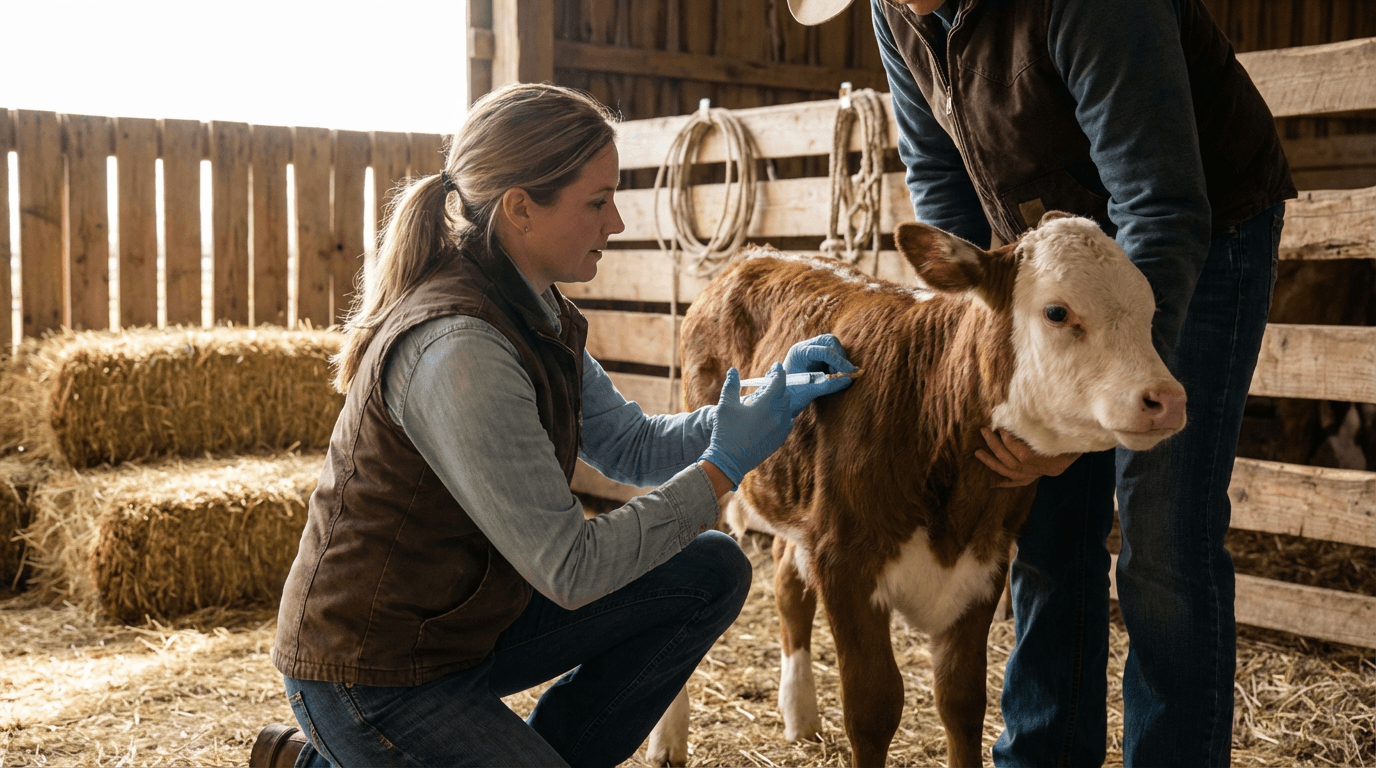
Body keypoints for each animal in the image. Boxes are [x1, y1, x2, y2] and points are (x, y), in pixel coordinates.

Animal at [658, 213, 1186, 767]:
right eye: (1057, 312)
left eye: (1149, 312)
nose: (1167, 399)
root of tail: (757, 254)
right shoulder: (844, 558)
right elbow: (873, 706)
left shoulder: (985, 560)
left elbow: (962, 699)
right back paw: (669, 738)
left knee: (787, 582)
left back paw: (800, 715)